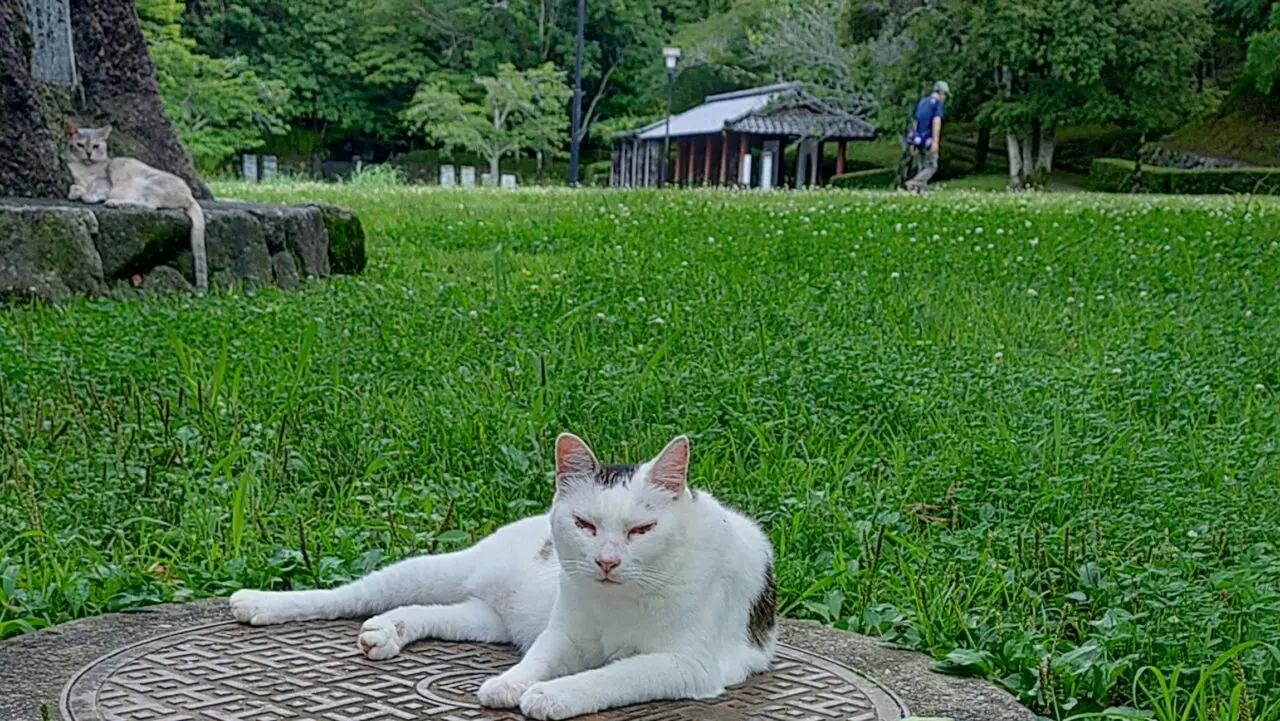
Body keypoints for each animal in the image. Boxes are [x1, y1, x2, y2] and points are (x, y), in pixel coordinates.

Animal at [65, 124, 207, 290]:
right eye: (80, 145)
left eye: (95, 146)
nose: (88, 153)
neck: (85, 170)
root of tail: (190, 196)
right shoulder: (78, 181)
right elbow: (75, 188)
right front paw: (75, 192)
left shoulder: (104, 183)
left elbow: (94, 190)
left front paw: (88, 195)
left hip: (147, 184)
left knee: (150, 206)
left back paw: (114, 202)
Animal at [230, 435, 778, 721]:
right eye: (585, 524)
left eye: (642, 530)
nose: (605, 561)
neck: (619, 600)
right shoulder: (565, 634)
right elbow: (539, 661)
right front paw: (511, 685)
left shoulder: (684, 665)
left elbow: (610, 675)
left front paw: (553, 695)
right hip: (429, 571)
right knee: (345, 595)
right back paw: (260, 603)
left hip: (482, 620)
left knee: (429, 613)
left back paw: (390, 631)